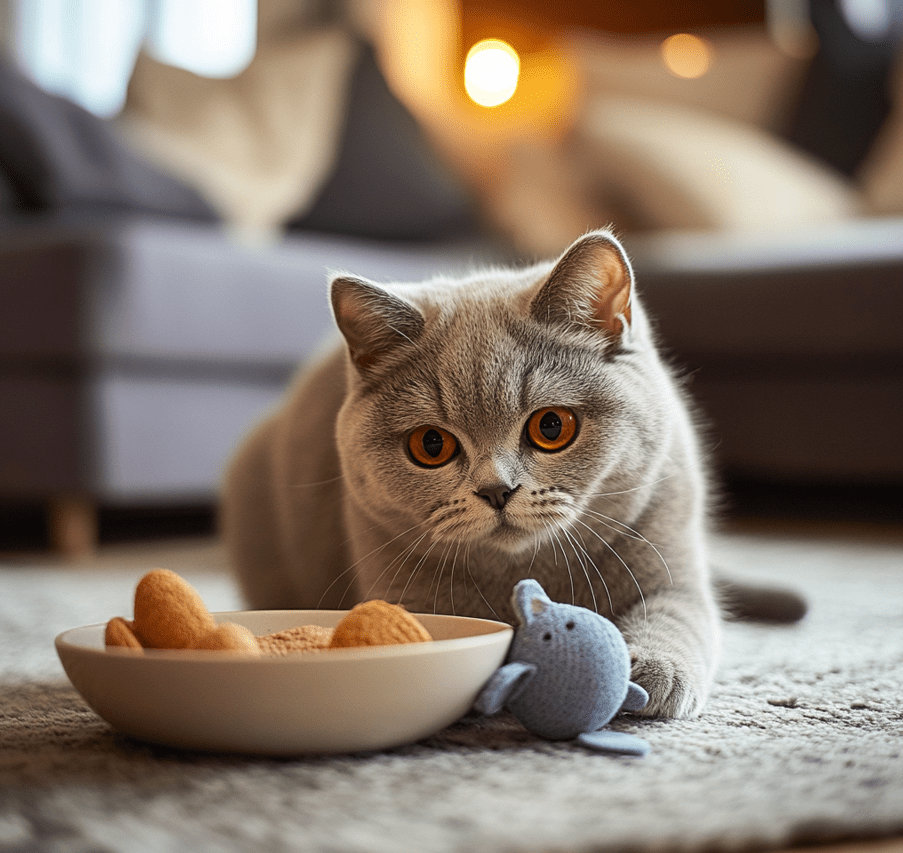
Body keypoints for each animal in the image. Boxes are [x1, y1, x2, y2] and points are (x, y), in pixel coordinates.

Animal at [222, 230, 732, 716]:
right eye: (431, 444)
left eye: (552, 426)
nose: (496, 490)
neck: (524, 569)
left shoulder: (670, 556)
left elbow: (678, 617)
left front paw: (652, 670)